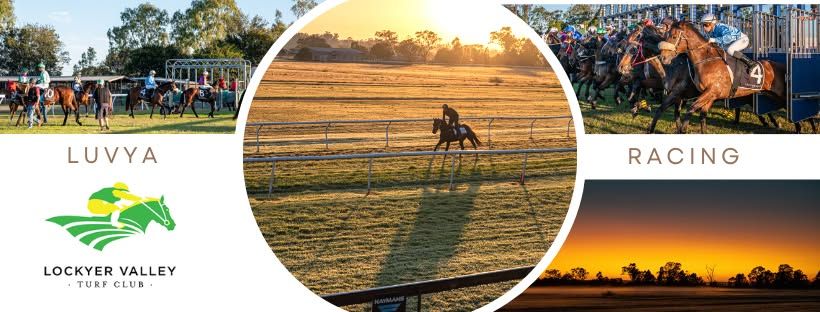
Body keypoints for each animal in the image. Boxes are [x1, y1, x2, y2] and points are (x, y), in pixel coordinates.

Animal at [656, 21, 812, 133]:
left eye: (673, 37)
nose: (663, 57)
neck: (706, 60)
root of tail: (784, 67)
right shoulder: (709, 95)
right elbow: (701, 115)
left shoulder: (711, 92)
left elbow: (691, 109)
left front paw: (682, 129)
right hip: (773, 95)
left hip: (784, 95)